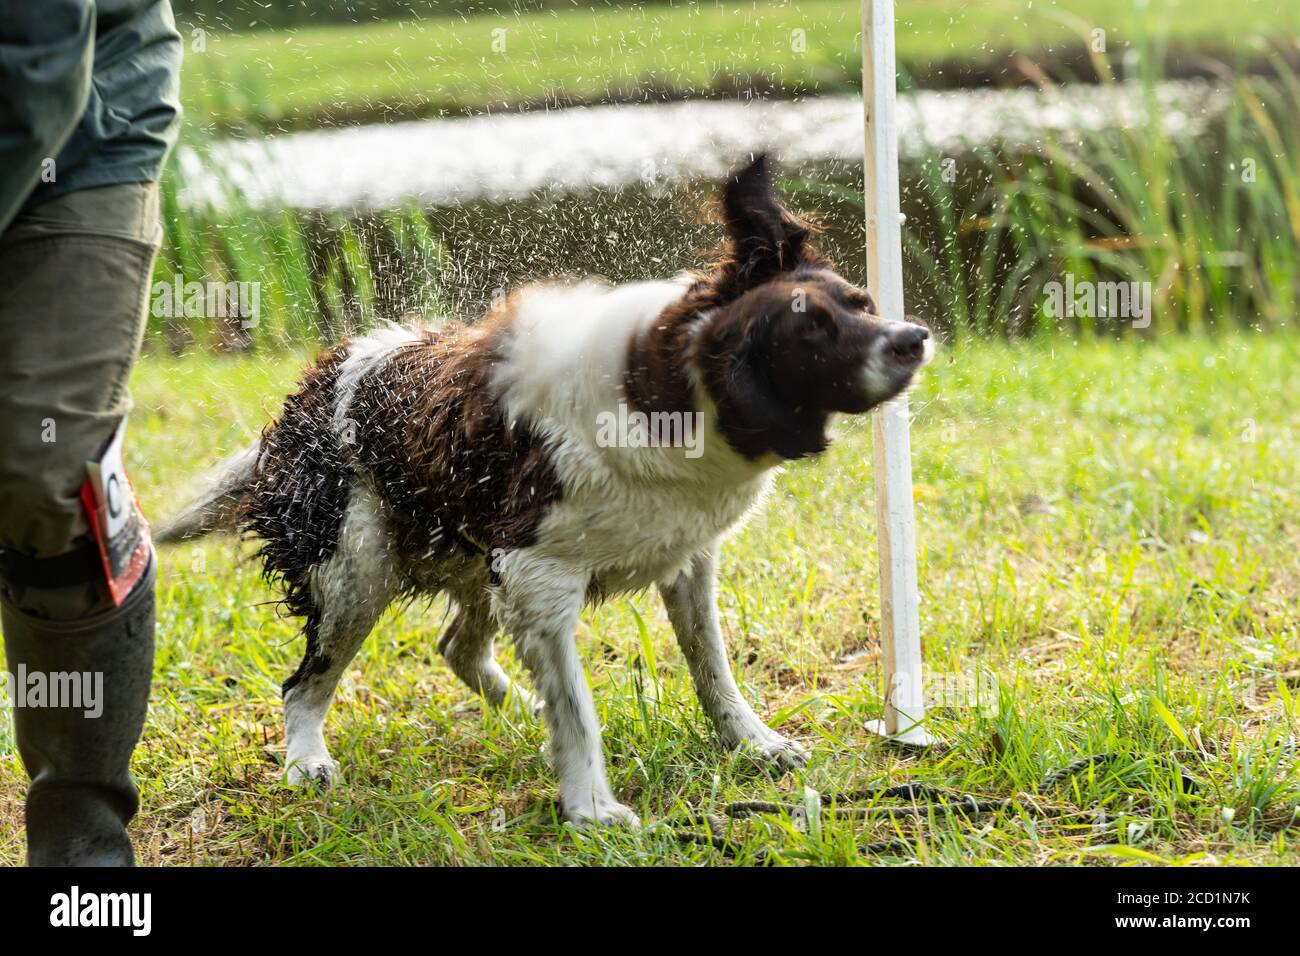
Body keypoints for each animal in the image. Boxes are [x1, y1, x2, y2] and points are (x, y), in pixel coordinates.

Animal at [159, 153, 935, 827]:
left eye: (863, 302)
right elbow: (578, 710)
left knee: (455, 644)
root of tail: (315, 385)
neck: (668, 395)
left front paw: (753, 743)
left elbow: (712, 666)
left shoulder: (682, 561)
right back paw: (306, 761)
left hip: (468, 557)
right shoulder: (539, 576)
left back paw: (509, 700)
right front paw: (591, 811)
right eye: (812, 332)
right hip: (357, 573)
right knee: (305, 684)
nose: (914, 336)